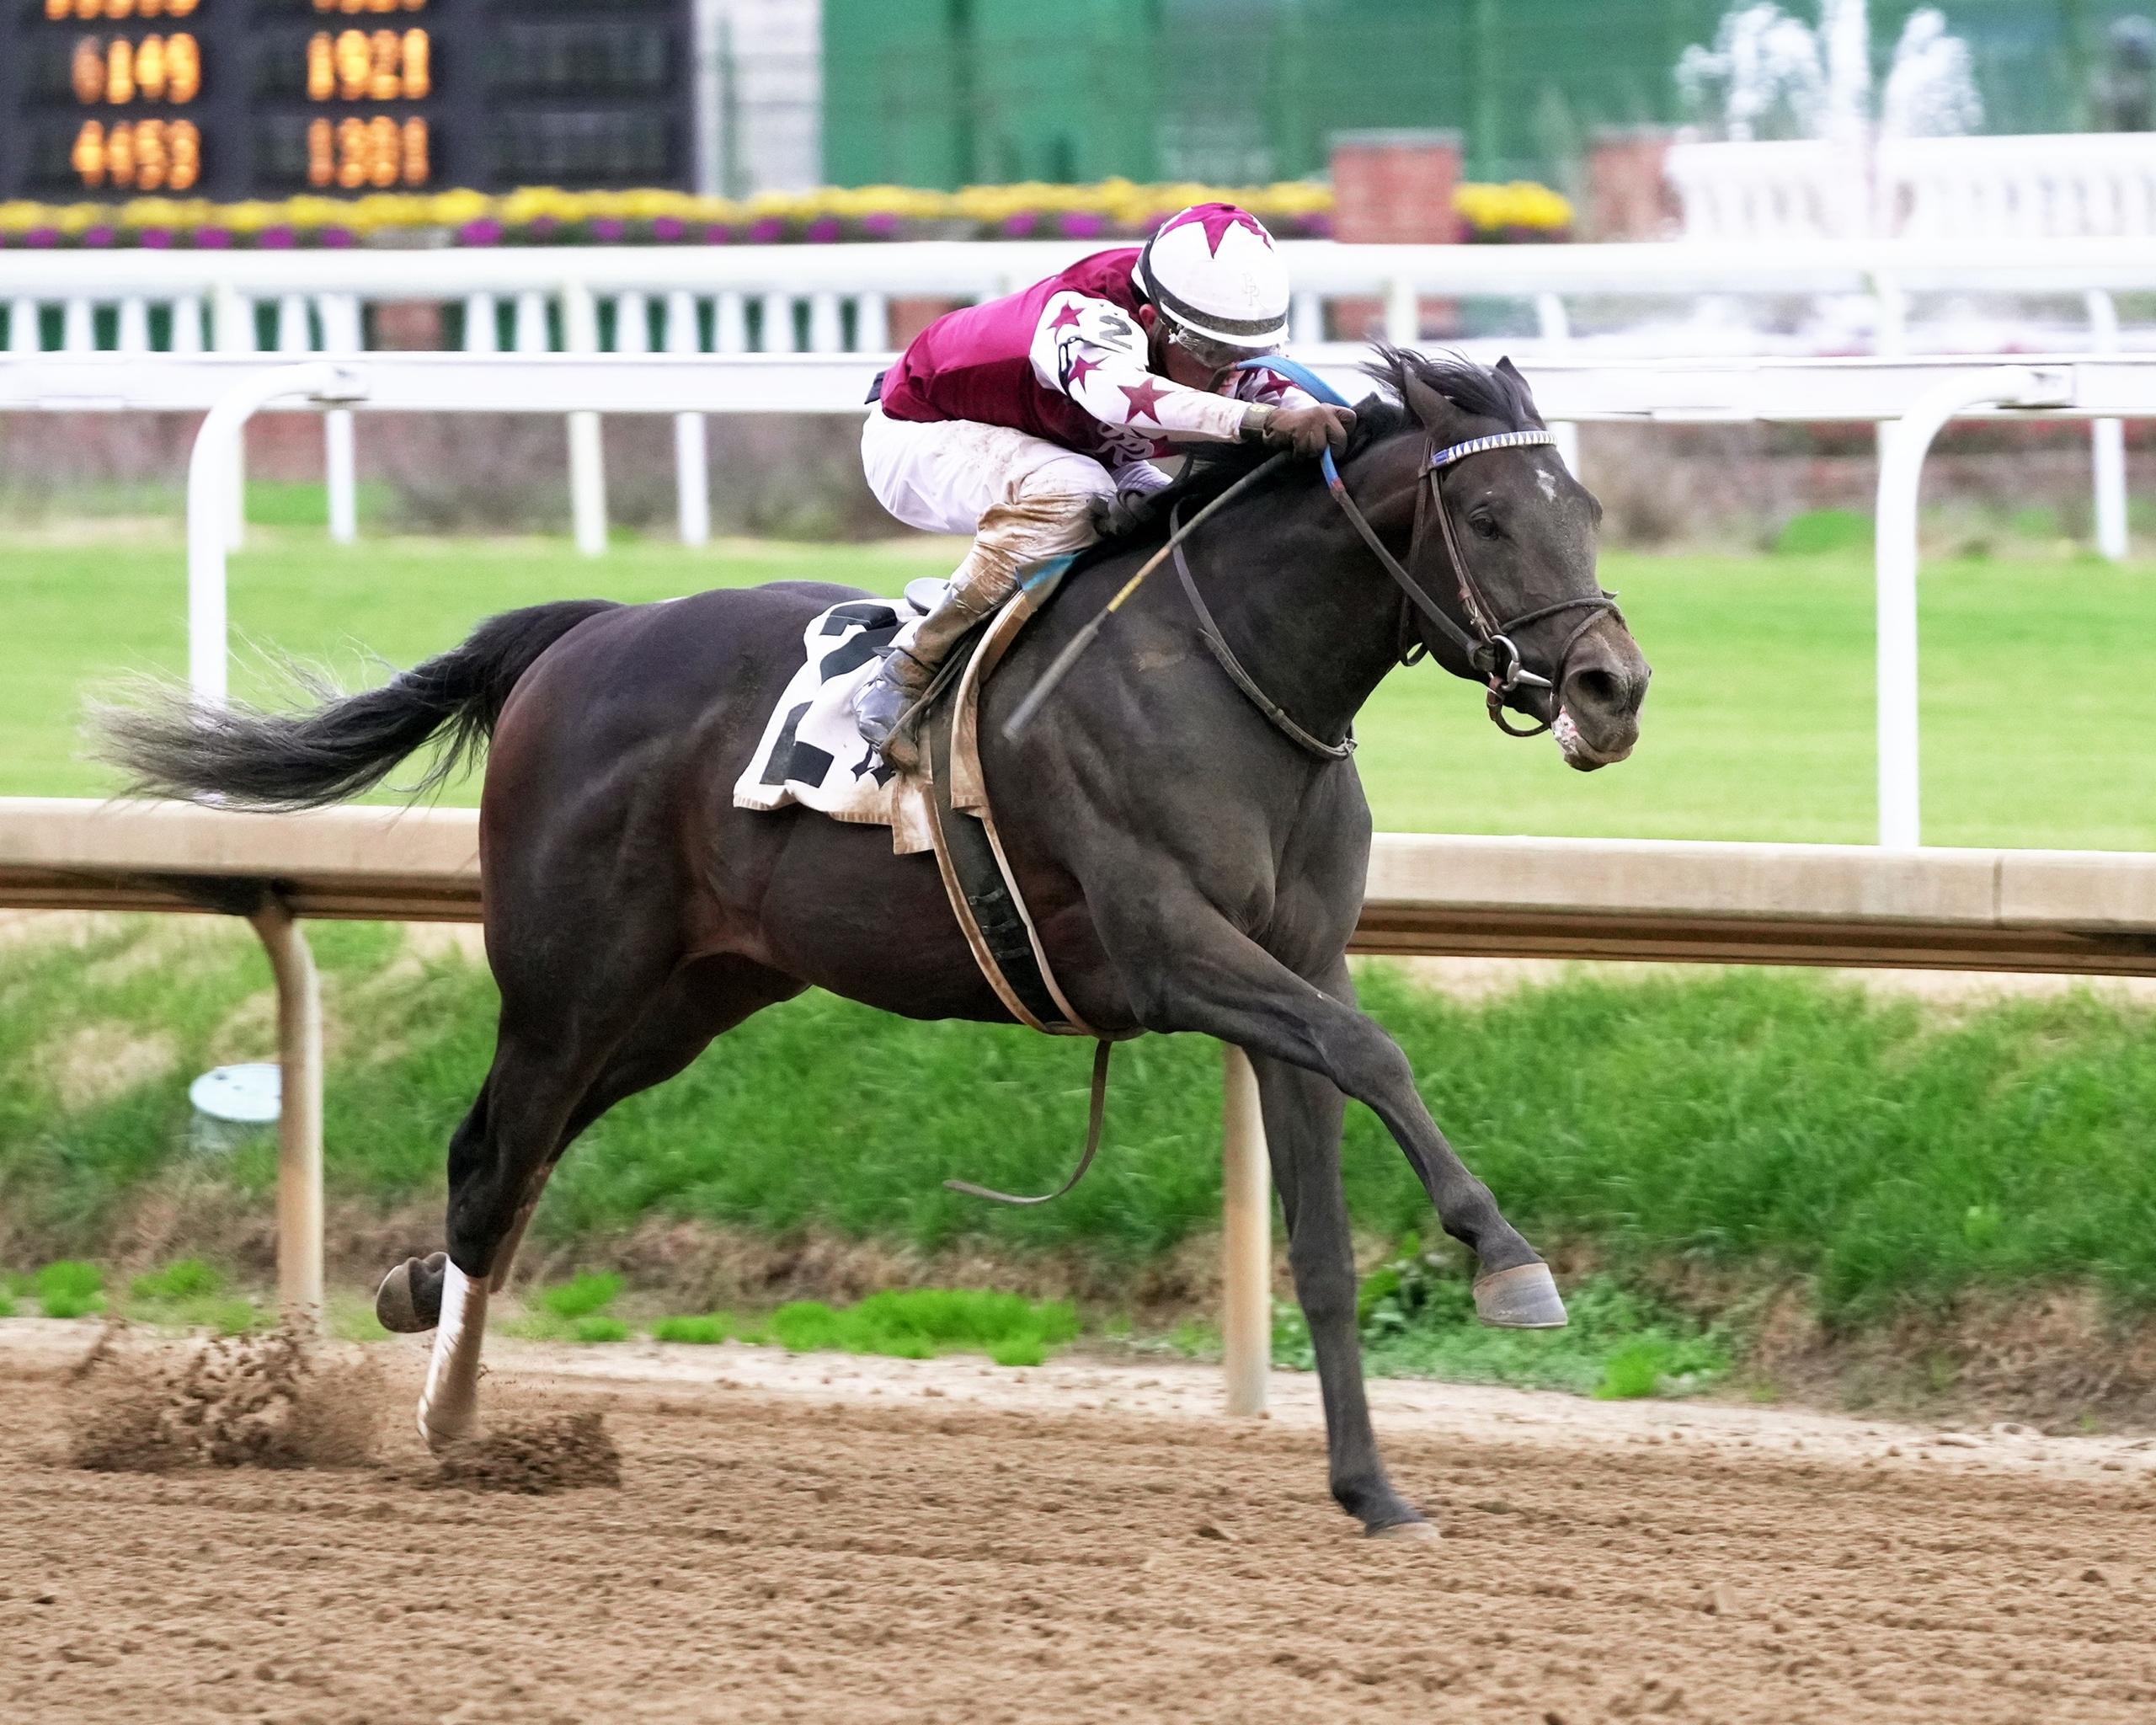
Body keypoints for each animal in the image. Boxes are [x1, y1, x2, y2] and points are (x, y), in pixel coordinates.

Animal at [100, 347, 1650, 1537]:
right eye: (1493, 515)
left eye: (1585, 505)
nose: (1612, 688)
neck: (1234, 678)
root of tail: (582, 636)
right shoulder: (1176, 952)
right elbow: (1374, 1048)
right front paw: (1510, 1259)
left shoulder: (1288, 966)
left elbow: (1322, 1233)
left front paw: (1372, 1486)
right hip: (569, 979)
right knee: (497, 1155)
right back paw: (453, 1418)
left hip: (688, 996)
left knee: (516, 1160)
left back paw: (420, 1293)